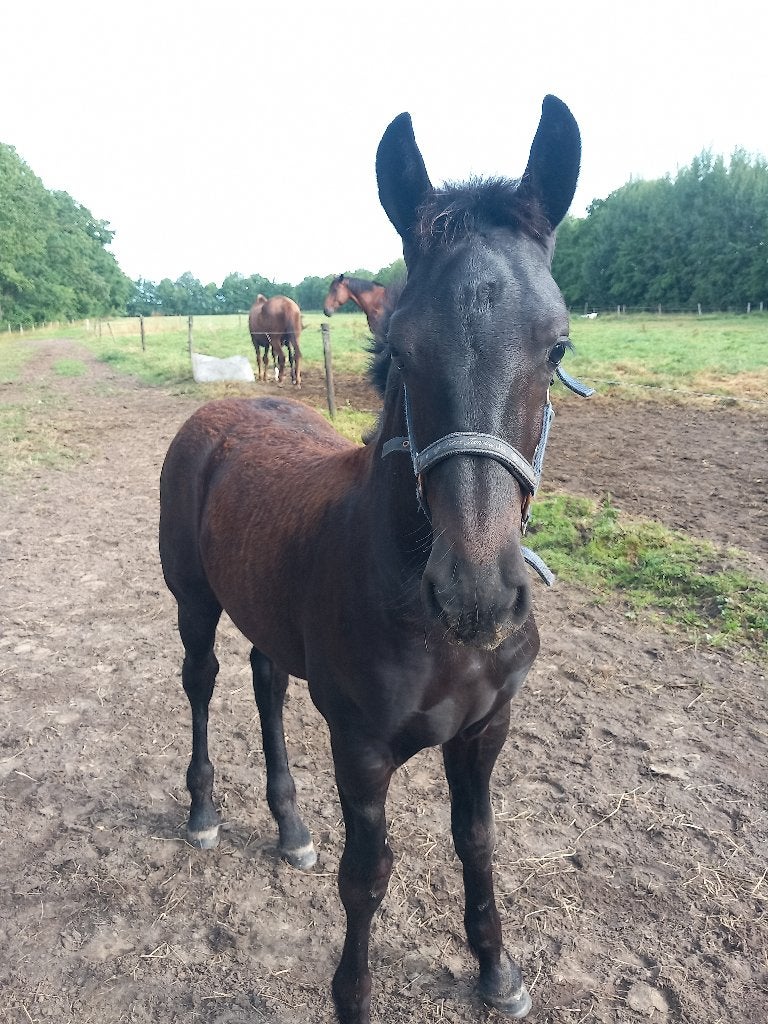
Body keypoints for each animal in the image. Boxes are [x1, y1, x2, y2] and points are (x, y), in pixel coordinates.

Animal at [159, 94, 582, 1023]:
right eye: (402, 348)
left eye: (557, 347)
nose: (477, 592)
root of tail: (217, 413)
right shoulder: (360, 745)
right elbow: (367, 878)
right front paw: (353, 998)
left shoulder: (486, 731)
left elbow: (476, 841)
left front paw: (497, 969)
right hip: (192, 600)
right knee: (202, 681)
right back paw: (204, 810)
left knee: (267, 686)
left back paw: (289, 826)